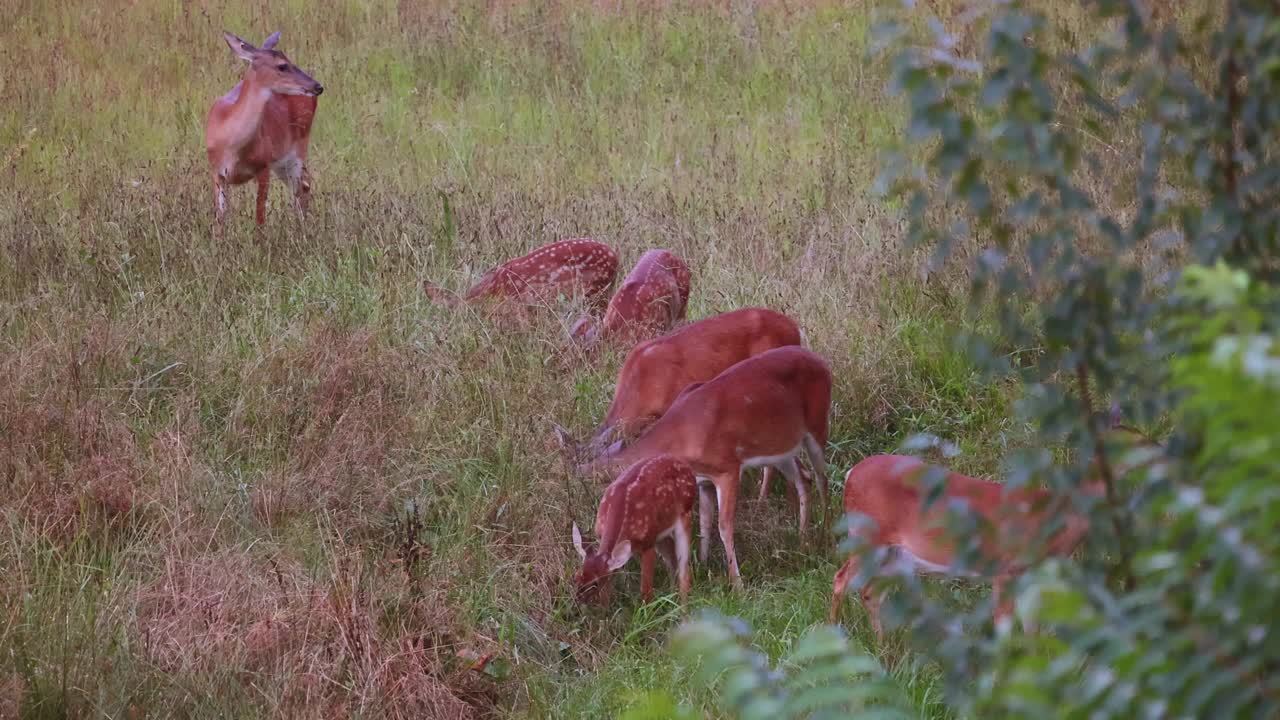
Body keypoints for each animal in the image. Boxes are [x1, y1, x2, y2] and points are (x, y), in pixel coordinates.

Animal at [204, 31, 322, 224]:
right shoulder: (216, 172)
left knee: (303, 185)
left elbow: (259, 218)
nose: (318, 86)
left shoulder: (264, 165)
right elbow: (220, 220)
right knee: (303, 184)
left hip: (297, 148)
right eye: (282, 66)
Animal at [573, 453, 696, 599]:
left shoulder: (648, 543)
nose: (578, 599)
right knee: (672, 557)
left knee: (684, 570)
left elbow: (646, 591)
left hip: (685, 514)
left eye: (595, 583)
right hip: (661, 532)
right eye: (576, 577)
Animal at [829, 422, 1172, 635]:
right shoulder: (1005, 569)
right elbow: (1004, 628)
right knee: (840, 579)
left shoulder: (1030, 576)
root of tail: (850, 473)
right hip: (866, 535)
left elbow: (1033, 627)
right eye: (1141, 444)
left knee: (871, 592)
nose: (1169, 453)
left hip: (895, 554)